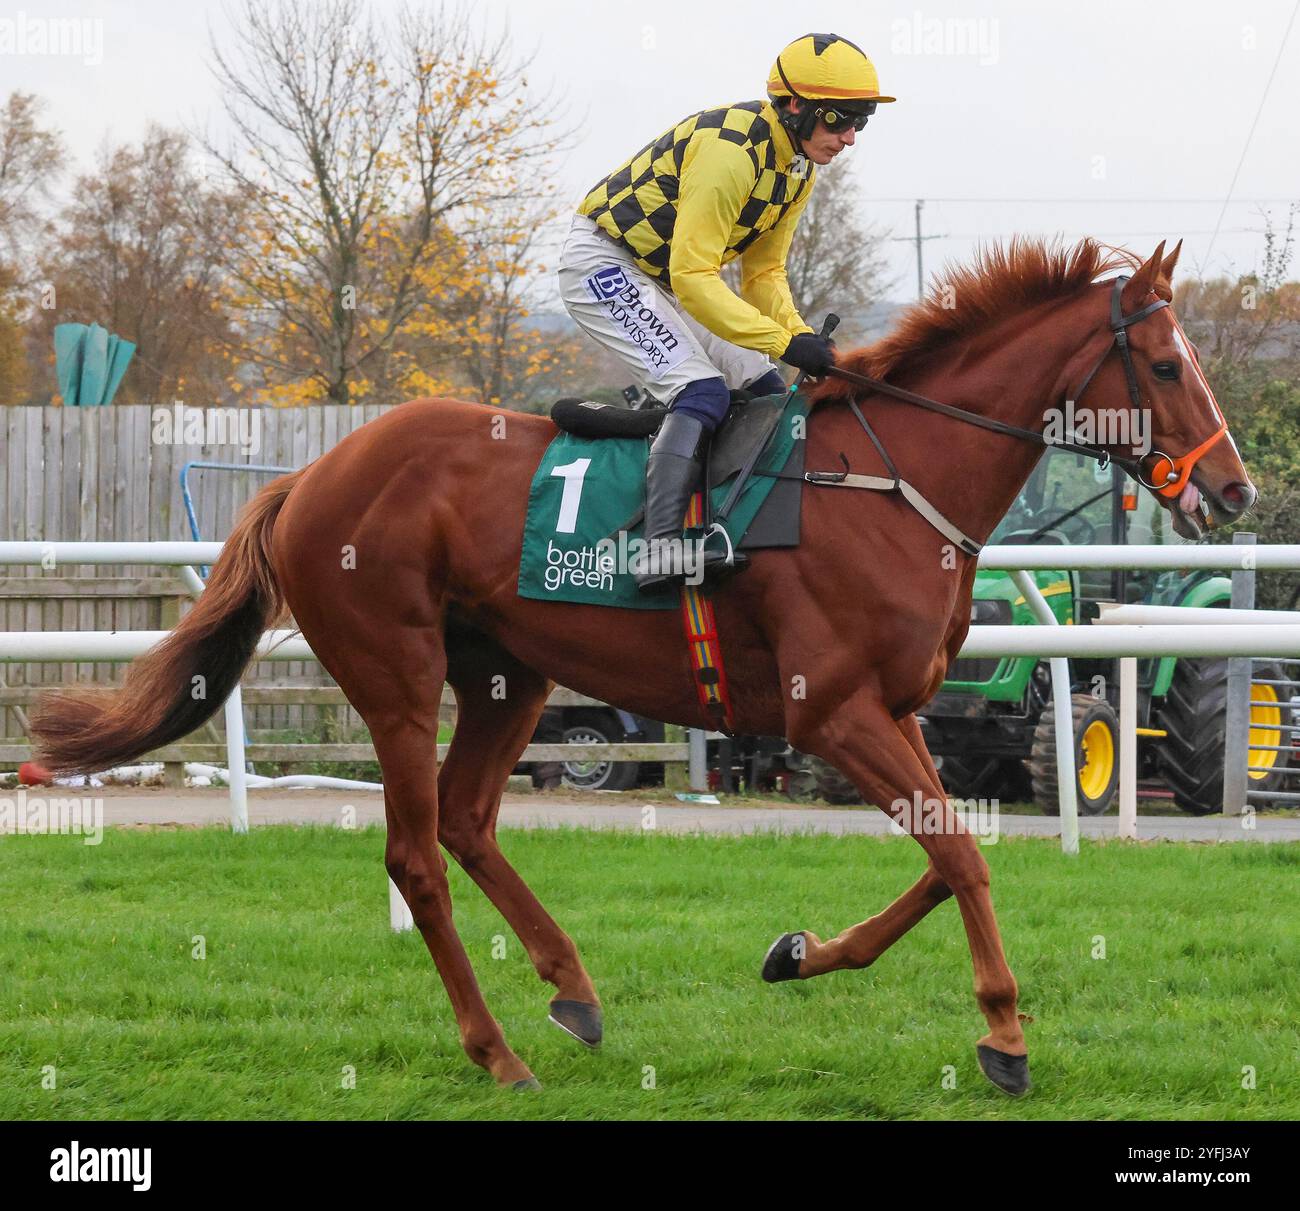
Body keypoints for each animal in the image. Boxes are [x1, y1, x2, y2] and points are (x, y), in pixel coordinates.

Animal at [27, 236, 1248, 1096]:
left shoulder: (893, 710)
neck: (888, 479)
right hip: (397, 672)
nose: (1233, 491)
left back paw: (571, 990)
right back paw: (498, 1050)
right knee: (417, 852)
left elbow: (952, 856)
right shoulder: (831, 713)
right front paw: (1003, 1034)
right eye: (1164, 361)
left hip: (507, 674)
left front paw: (799, 952)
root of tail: (307, 476)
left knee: (468, 821)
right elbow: (962, 855)